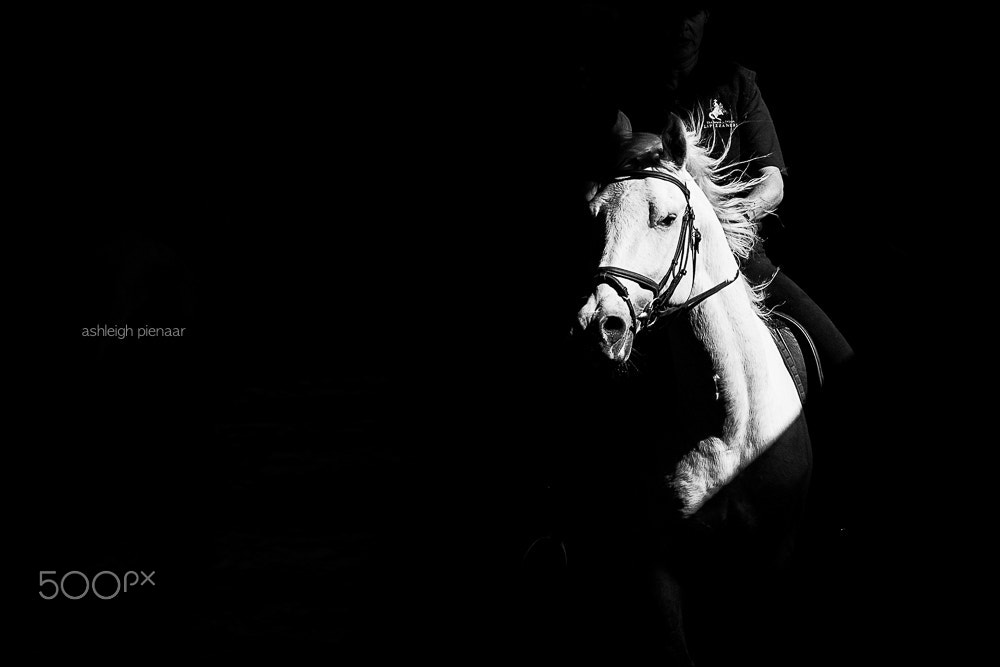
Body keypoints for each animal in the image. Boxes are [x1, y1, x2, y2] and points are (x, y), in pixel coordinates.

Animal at [541, 113, 815, 664]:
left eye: (666, 219)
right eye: (595, 217)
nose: (598, 326)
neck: (730, 423)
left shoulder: (775, 556)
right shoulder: (655, 565)